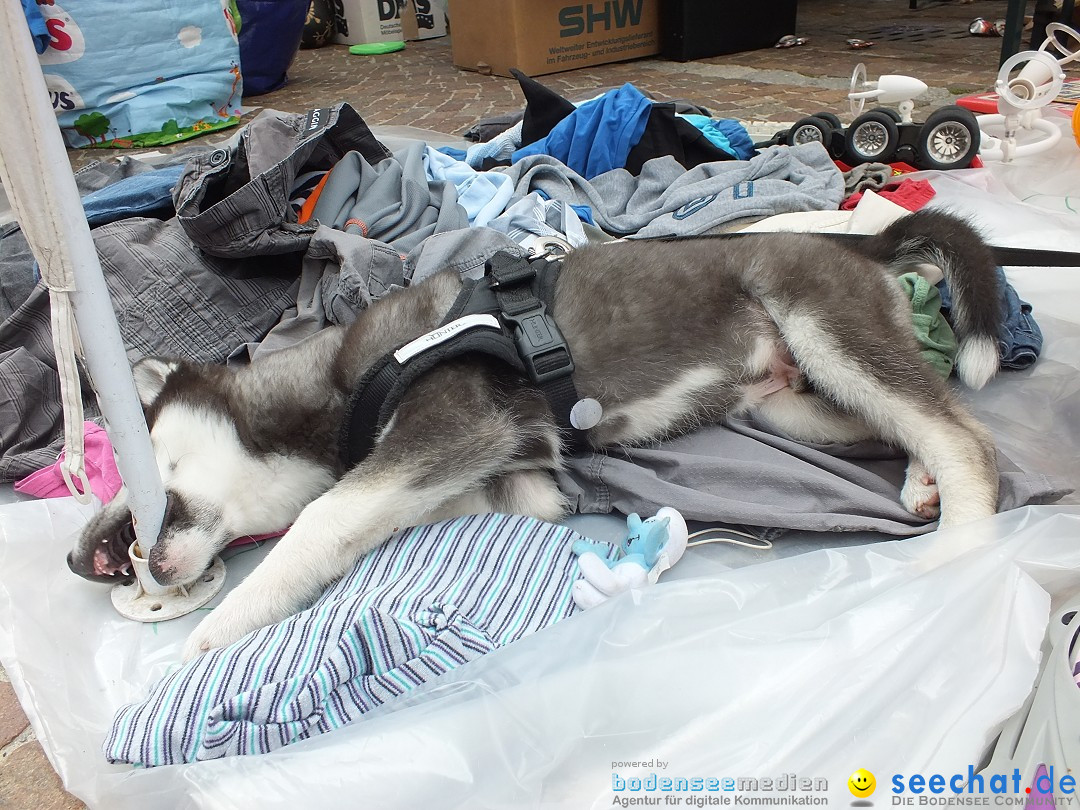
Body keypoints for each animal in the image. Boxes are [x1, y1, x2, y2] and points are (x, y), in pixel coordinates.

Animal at [69, 209, 1002, 660]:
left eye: (123, 458)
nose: (80, 560)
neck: (330, 384)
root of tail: (863, 244)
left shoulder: (454, 423)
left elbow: (321, 520)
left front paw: (210, 636)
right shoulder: (514, 472)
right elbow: (451, 508)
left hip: (824, 328)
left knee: (965, 433)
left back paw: (959, 551)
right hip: (789, 402)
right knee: (917, 419)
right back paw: (918, 481)